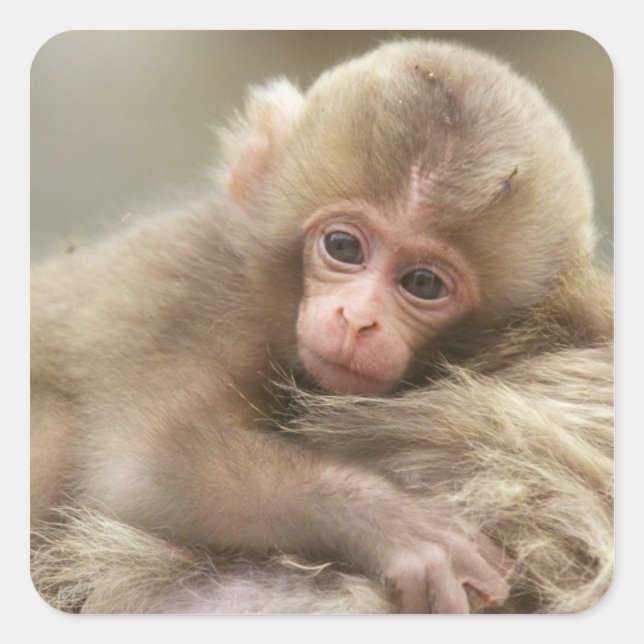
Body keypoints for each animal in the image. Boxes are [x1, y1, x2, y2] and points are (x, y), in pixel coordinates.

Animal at [30, 39, 613, 614]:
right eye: (344, 247)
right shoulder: (196, 296)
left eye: (423, 283)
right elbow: (144, 468)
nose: (356, 320)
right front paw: (398, 526)